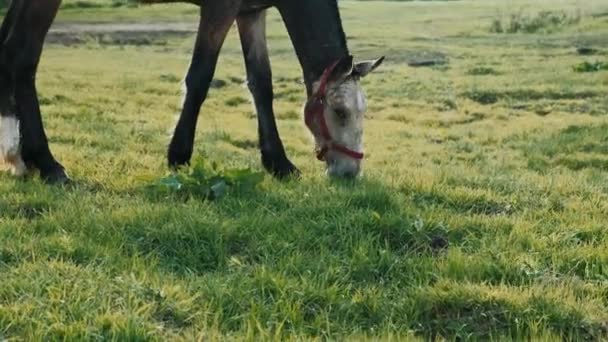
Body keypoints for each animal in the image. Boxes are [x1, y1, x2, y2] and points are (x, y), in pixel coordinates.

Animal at [0, 0, 380, 184]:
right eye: (340, 111)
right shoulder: (220, 8)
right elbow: (200, 76)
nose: (350, 173)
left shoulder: (251, 13)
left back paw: (18, 155)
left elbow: (261, 83)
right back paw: (45, 162)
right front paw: (178, 155)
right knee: (22, 55)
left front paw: (278, 163)